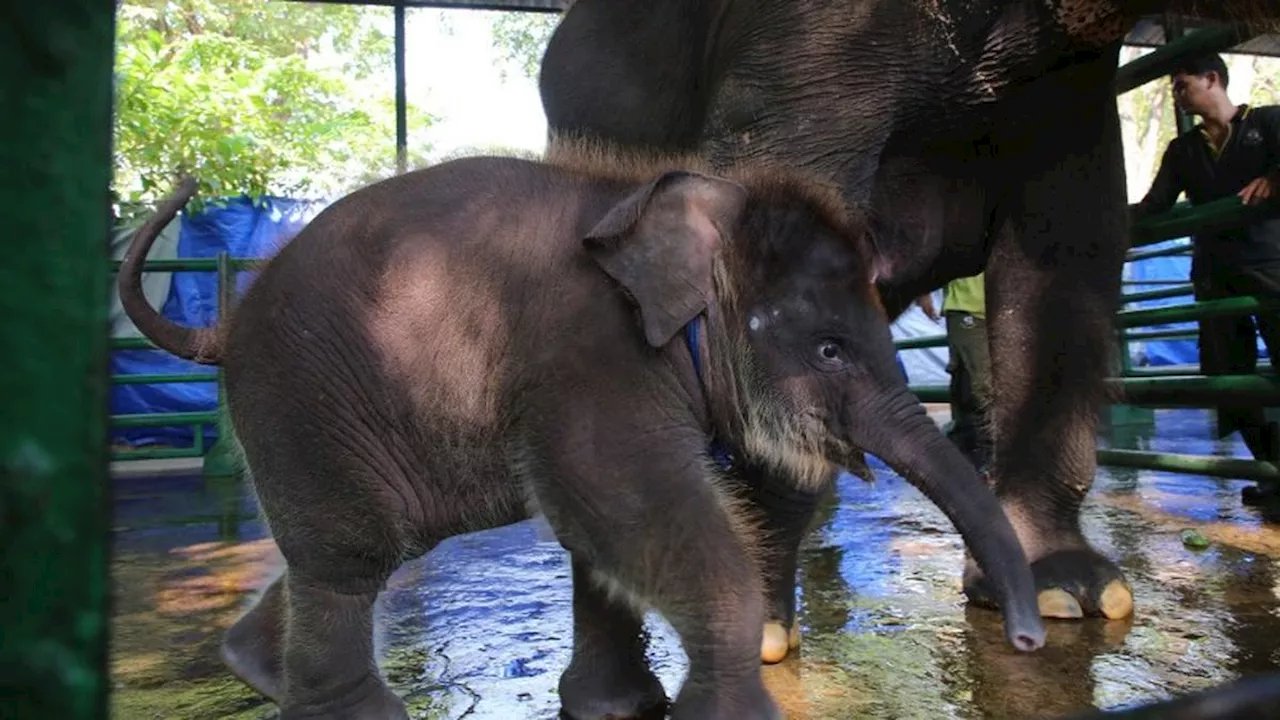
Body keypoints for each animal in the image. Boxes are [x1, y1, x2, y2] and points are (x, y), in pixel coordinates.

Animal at [115, 141, 1044, 717]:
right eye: (830, 348)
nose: (1027, 638)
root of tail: (223, 323)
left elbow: (602, 533)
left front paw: (620, 709)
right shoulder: (589, 356)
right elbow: (630, 502)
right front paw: (730, 713)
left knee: (363, 548)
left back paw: (251, 668)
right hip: (304, 397)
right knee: (351, 559)